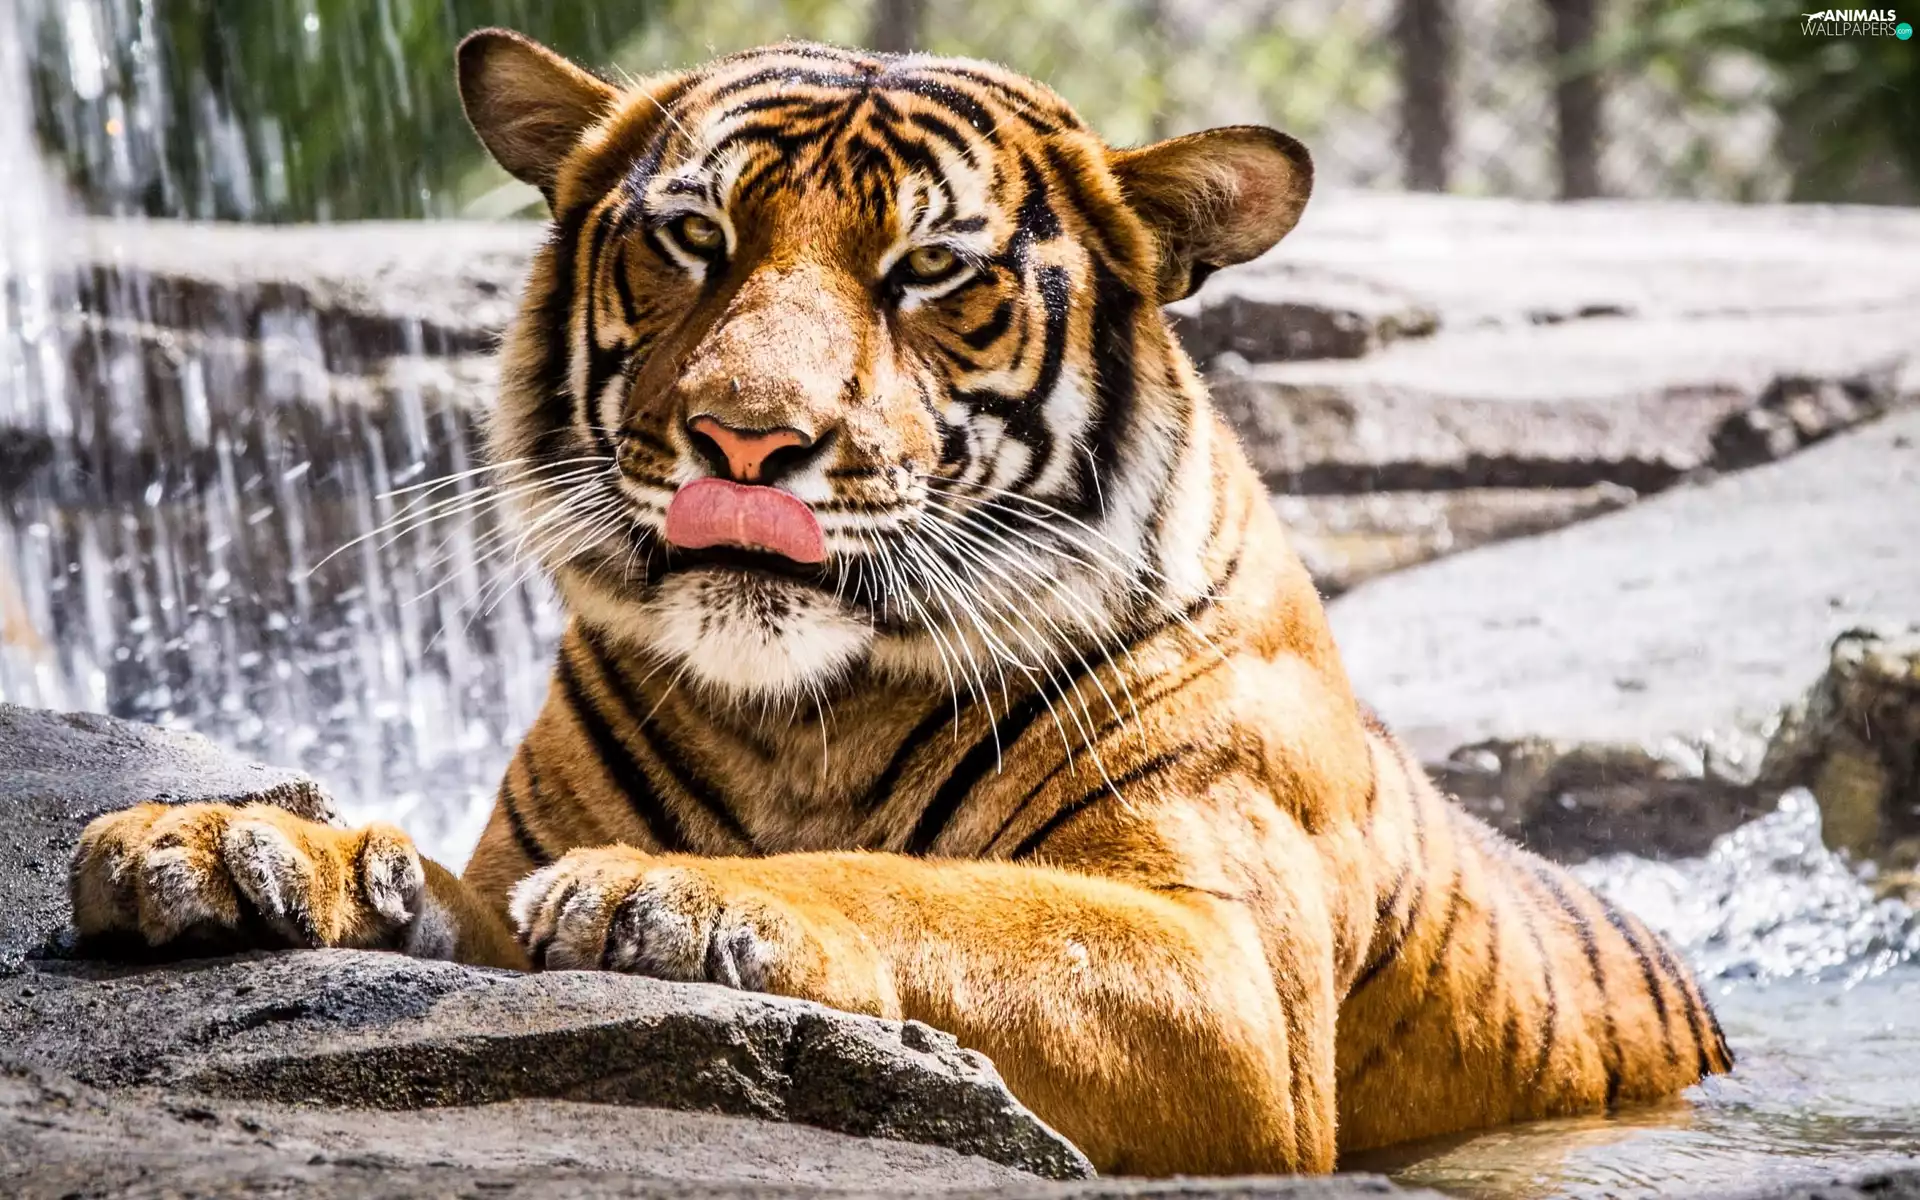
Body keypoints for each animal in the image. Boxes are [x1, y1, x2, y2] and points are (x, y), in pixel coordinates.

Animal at [67, 28, 1731, 1177]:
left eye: (930, 270)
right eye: (692, 237)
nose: (745, 439)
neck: (801, 714)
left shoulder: (1231, 984)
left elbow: (931, 893)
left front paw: (681, 895)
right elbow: (440, 890)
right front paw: (230, 845)